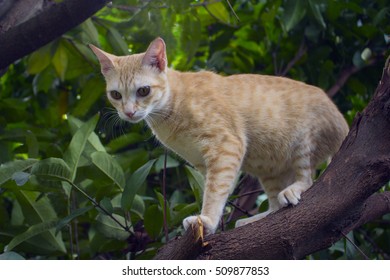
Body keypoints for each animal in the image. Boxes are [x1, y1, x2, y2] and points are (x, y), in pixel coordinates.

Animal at [90, 37, 348, 234]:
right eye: (115, 95)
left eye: (143, 91)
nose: (129, 112)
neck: (172, 109)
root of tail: (342, 120)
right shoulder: (202, 163)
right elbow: (215, 188)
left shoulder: (226, 145)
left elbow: (214, 192)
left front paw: (207, 220)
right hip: (270, 169)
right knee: (275, 204)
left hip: (302, 145)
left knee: (306, 179)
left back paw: (293, 191)